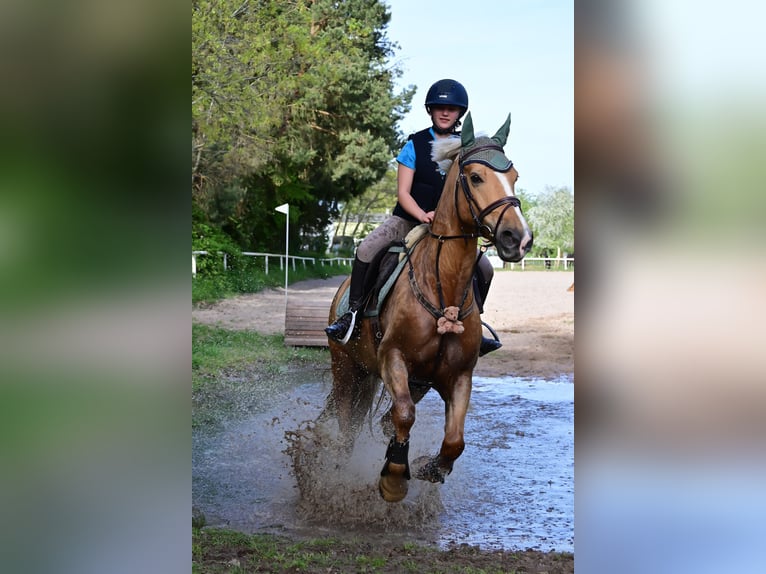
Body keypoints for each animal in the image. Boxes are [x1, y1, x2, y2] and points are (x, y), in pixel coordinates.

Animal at [326, 112, 536, 504]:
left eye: (514, 177)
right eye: (475, 177)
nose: (519, 239)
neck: (444, 289)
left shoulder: (459, 376)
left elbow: (454, 440)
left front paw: (427, 468)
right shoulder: (392, 358)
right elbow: (404, 415)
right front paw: (394, 477)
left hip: (409, 380)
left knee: (379, 421)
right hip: (346, 369)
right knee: (348, 426)